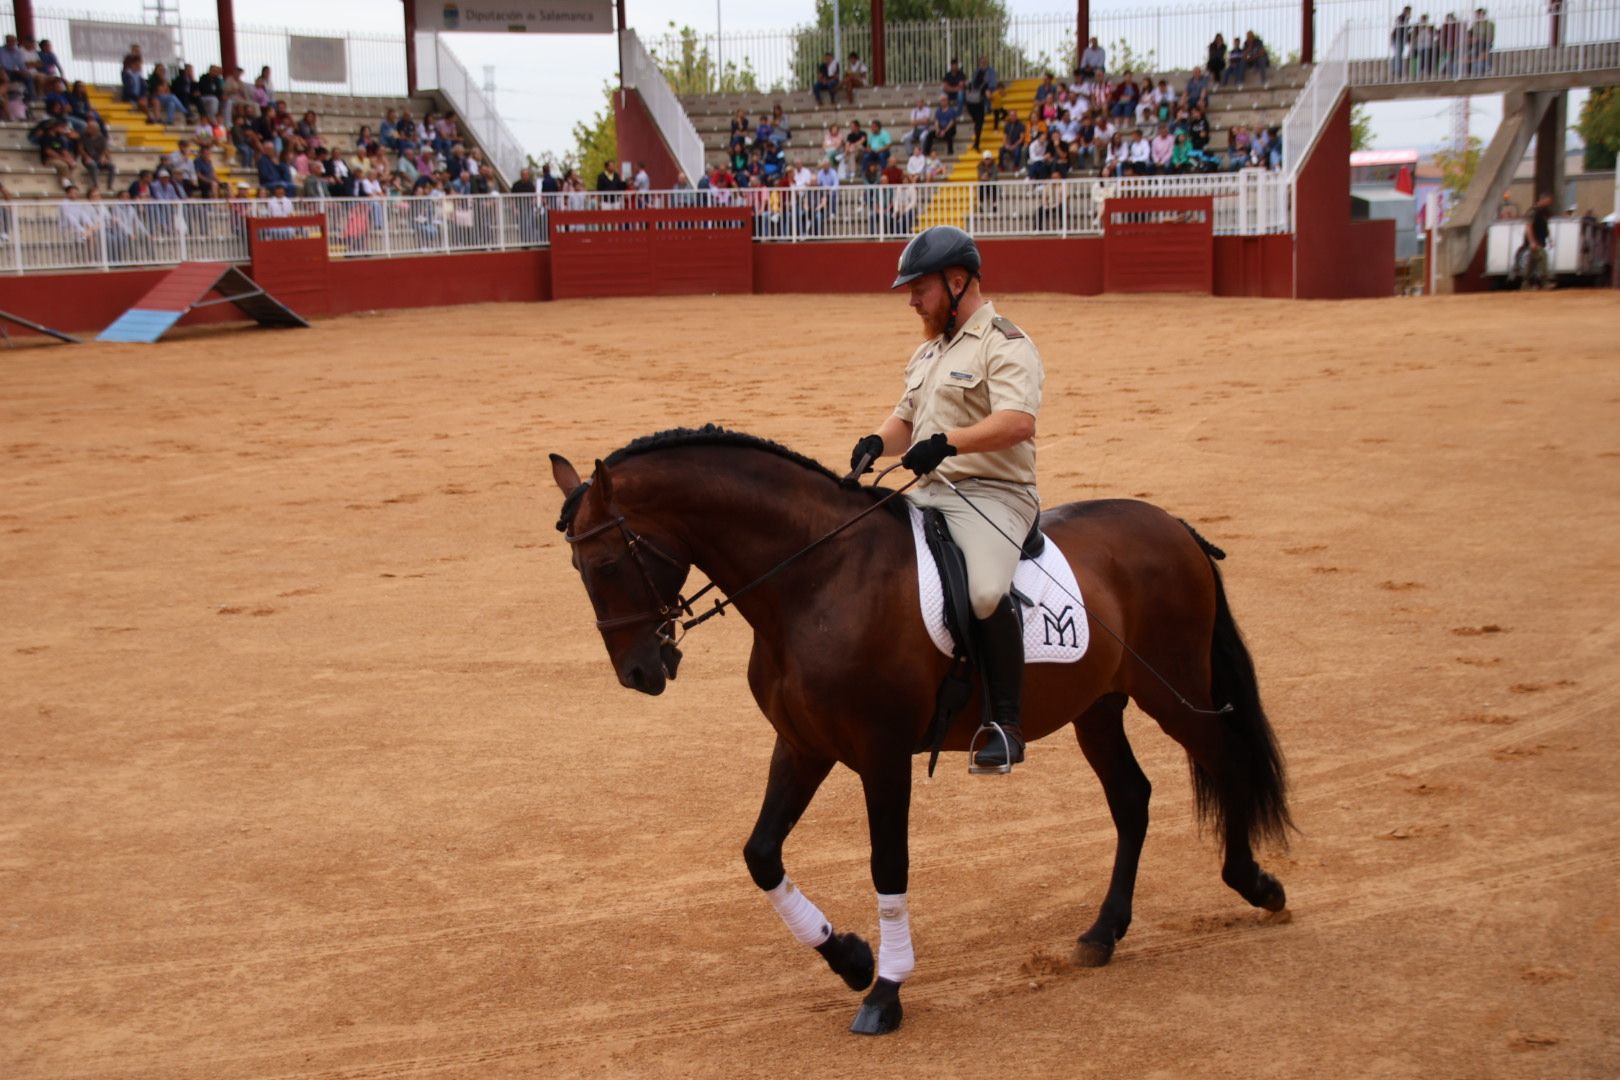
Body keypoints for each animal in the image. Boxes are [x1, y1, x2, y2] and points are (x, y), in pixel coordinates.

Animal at [550, 427, 1283, 1036]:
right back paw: (1103, 933)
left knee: (1226, 759)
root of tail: (1172, 525)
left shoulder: (882, 754)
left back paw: (1256, 884)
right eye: (578, 570)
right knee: (1132, 798)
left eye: (608, 563)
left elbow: (888, 864)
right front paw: (849, 958)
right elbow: (761, 854)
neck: (814, 580)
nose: (639, 672)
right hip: (1098, 708)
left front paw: (885, 992)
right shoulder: (804, 746)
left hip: (1173, 694)